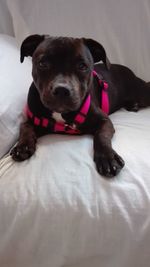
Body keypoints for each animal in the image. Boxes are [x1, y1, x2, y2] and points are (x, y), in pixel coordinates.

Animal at [10, 35, 150, 178]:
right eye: (42, 64)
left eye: (82, 66)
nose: (62, 90)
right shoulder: (36, 120)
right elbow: (25, 126)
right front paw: (22, 146)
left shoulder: (104, 121)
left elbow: (101, 135)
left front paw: (107, 157)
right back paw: (132, 105)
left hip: (143, 93)